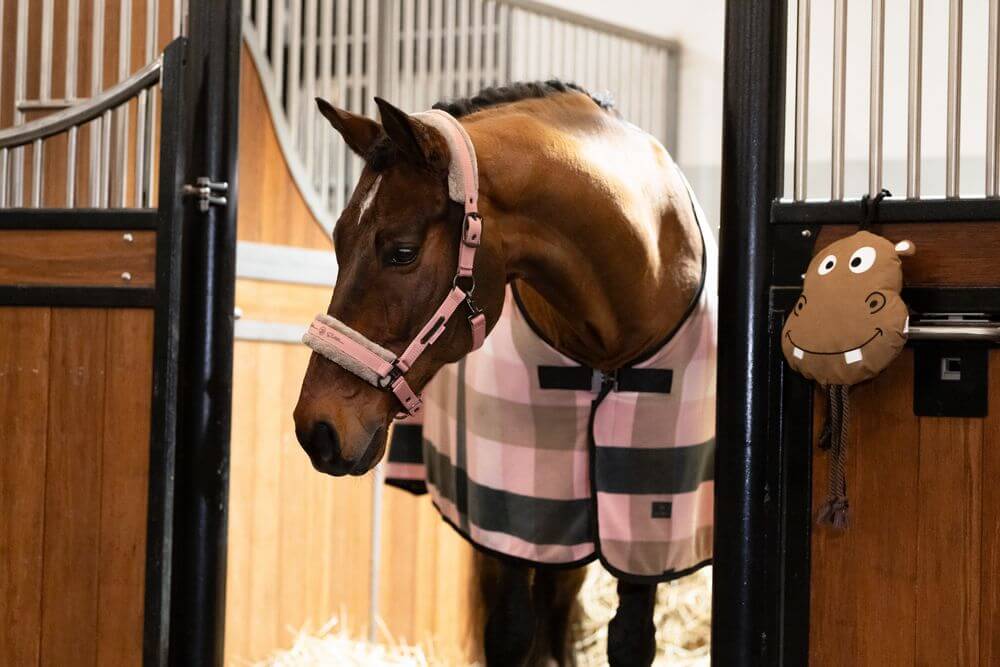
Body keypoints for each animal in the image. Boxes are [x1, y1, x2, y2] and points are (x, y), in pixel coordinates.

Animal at [294, 80, 710, 666]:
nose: (317, 429)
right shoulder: (511, 516)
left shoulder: (648, 533)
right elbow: (512, 632)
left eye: (402, 252)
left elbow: (629, 640)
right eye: (337, 241)